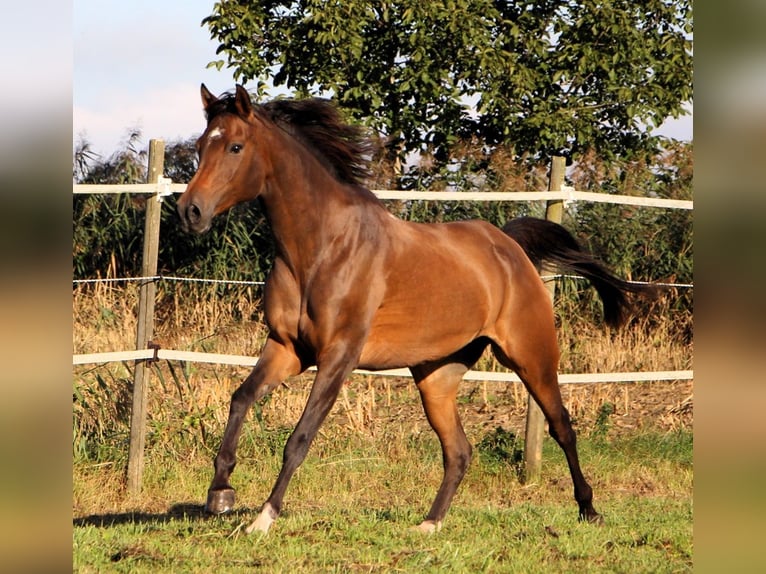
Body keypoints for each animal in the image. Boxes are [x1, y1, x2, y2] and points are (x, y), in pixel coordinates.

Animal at [177, 84, 652, 536]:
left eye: (235, 146)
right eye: (201, 145)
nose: (190, 211)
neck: (320, 247)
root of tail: (508, 247)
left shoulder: (338, 356)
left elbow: (300, 437)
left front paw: (264, 517)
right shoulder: (287, 348)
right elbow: (241, 398)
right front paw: (220, 494)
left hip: (531, 356)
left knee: (561, 427)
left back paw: (589, 510)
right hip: (437, 375)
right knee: (459, 450)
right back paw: (431, 522)